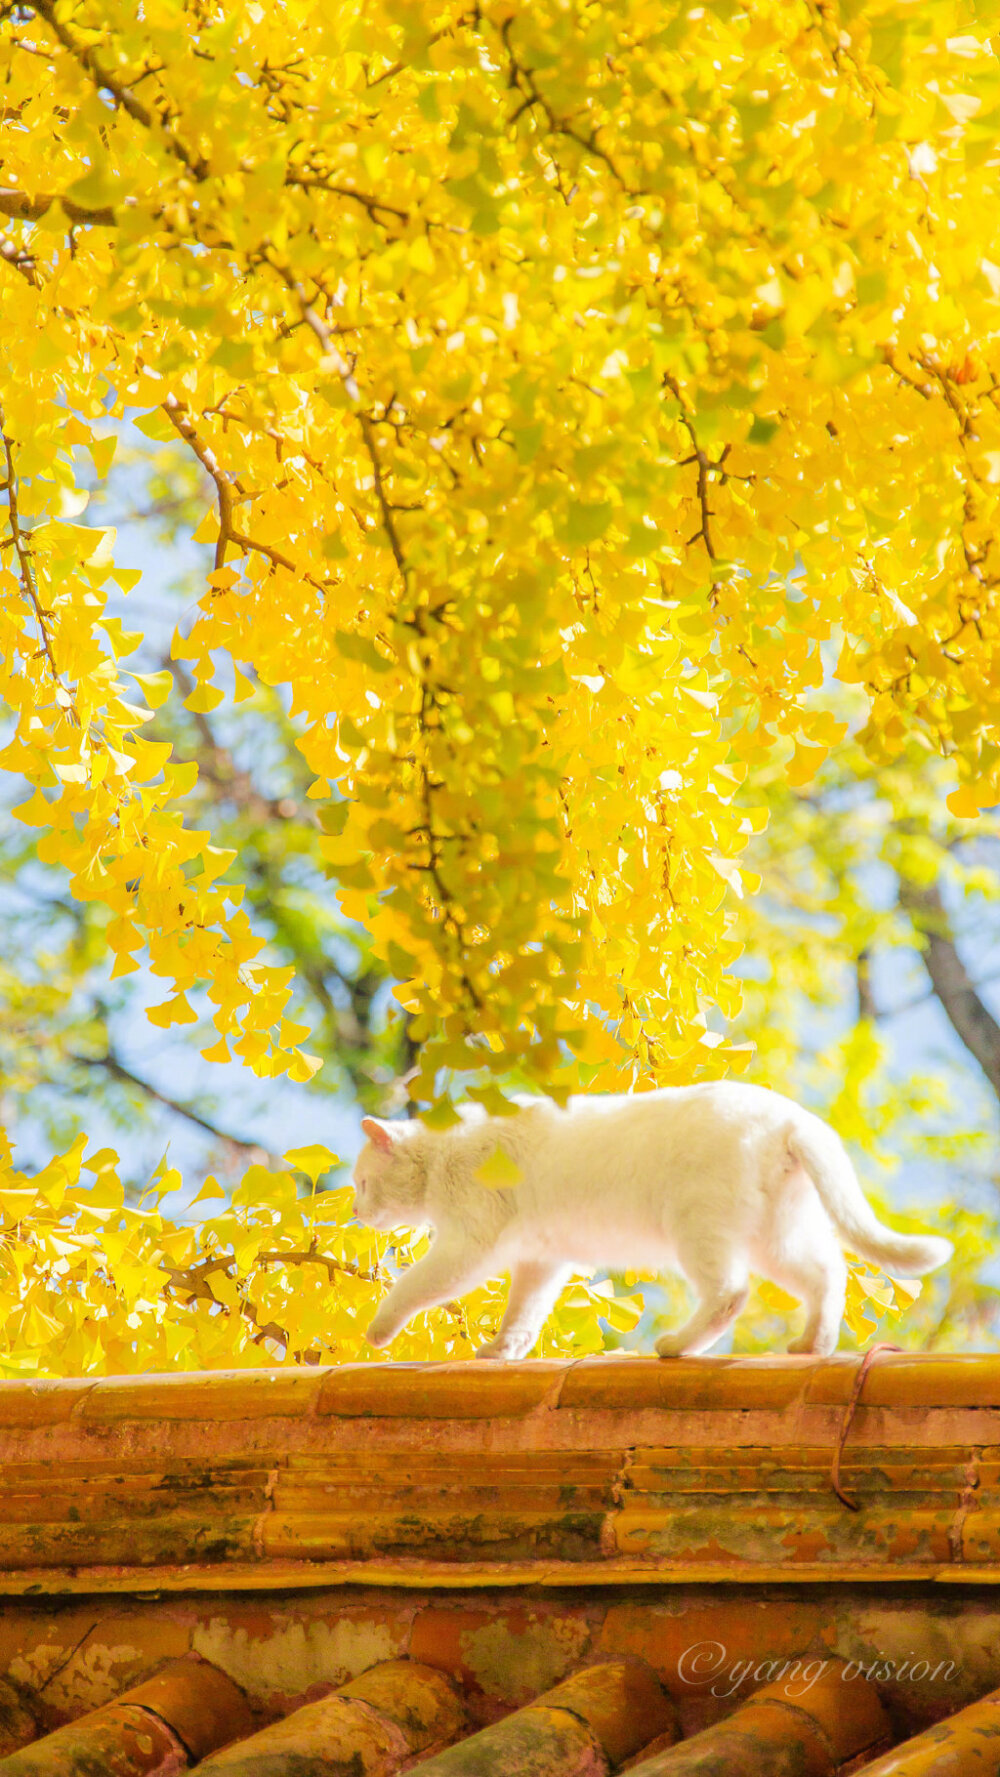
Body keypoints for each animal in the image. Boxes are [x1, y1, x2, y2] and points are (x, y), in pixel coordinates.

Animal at [353, 1080, 952, 1357]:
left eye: (359, 1184)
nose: (357, 1211)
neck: (442, 1150)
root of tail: (789, 1115)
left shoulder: (468, 1247)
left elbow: (412, 1287)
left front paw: (377, 1332)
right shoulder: (540, 1259)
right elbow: (523, 1315)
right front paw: (502, 1351)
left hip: (699, 1229)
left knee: (730, 1293)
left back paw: (677, 1346)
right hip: (773, 1237)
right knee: (828, 1272)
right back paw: (813, 1345)